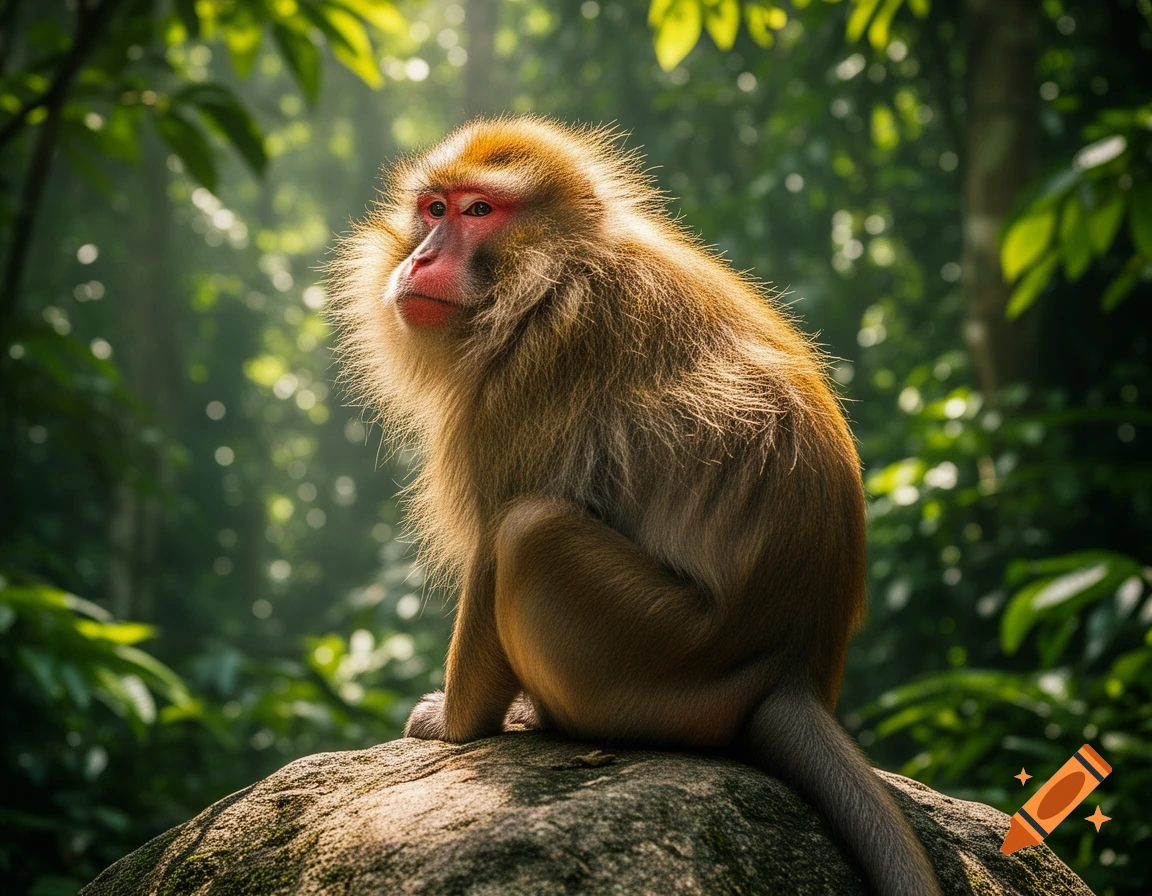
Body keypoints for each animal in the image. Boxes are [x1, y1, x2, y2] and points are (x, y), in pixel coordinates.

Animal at [327, 116, 941, 896]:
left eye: (479, 211)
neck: (551, 271)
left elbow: (493, 543)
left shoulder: (522, 383)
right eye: (434, 209)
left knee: (528, 531)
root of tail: (792, 666)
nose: (423, 256)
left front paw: (456, 725)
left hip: (650, 661)